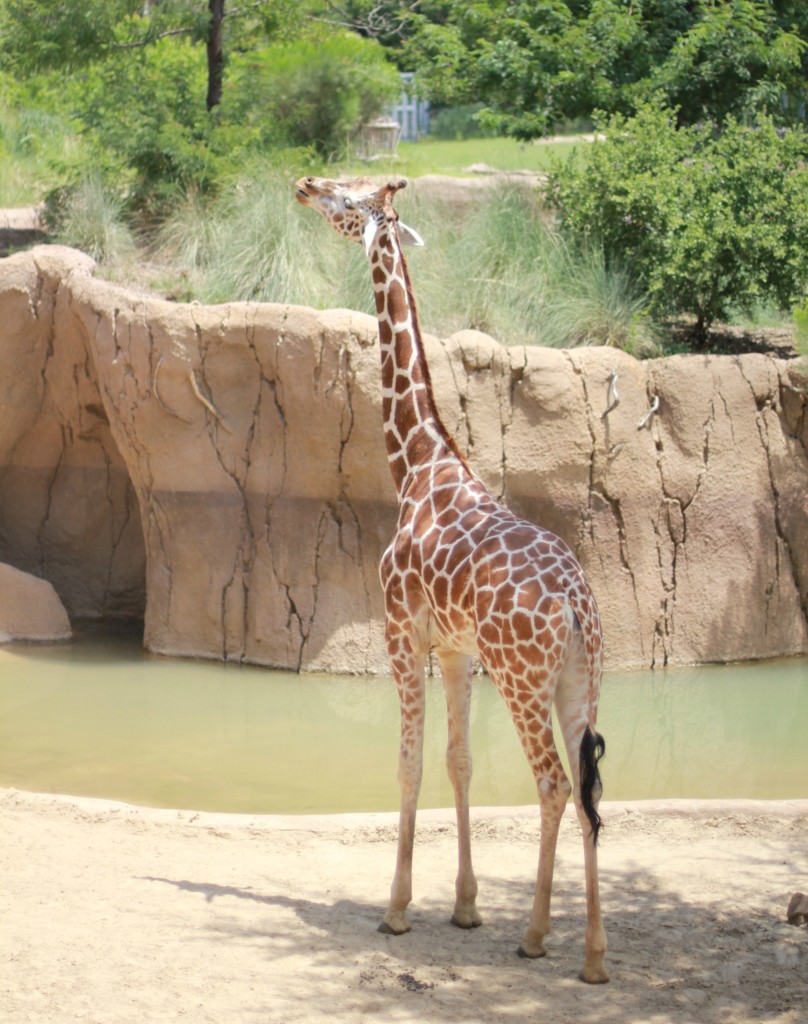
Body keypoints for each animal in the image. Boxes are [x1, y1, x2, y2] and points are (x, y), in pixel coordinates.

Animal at [294, 176, 606, 983]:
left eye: (348, 198)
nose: (304, 184)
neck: (418, 464)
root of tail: (577, 605)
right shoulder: (459, 649)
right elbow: (458, 762)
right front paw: (464, 907)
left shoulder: (401, 630)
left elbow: (408, 764)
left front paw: (398, 910)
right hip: (580, 680)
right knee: (591, 791)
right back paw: (594, 956)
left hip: (524, 678)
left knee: (554, 784)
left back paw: (536, 935)